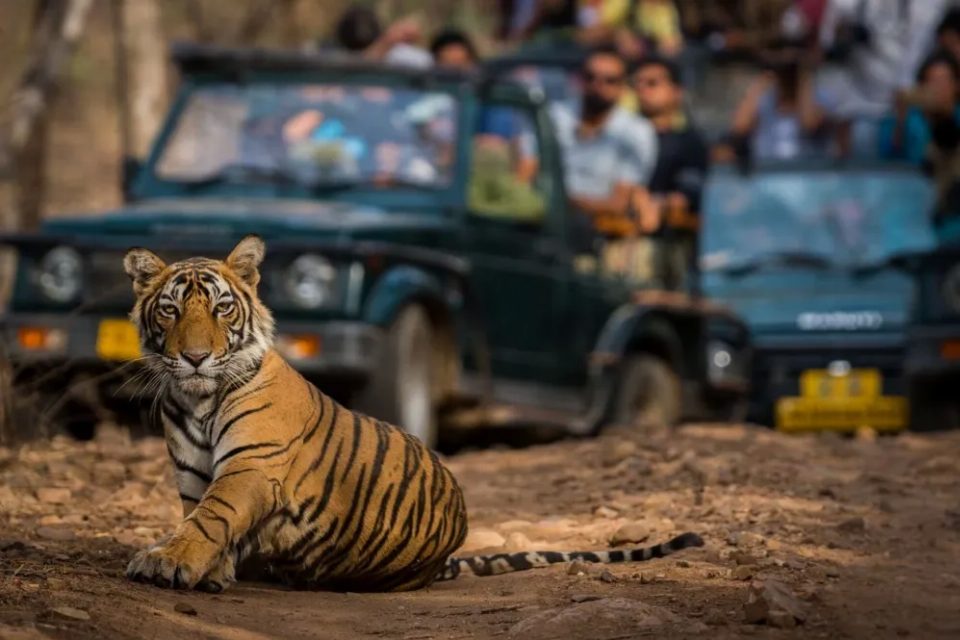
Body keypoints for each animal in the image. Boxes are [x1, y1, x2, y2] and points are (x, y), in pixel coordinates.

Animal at [121, 235, 704, 593]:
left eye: (222, 308)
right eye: (170, 310)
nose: (196, 357)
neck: (197, 399)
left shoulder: (251, 466)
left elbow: (210, 518)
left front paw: (168, 562)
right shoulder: (193, 474)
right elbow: (199, 517)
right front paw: (206, 569)